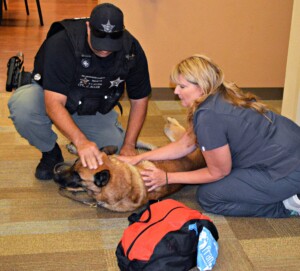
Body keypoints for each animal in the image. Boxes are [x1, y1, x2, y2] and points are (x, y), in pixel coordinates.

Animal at [52, 118, 205, 212]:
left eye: (77, 175)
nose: (55, 175)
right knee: (147, 145)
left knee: (178, 129)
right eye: (74, 164)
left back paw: (171, 122)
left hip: (182, 139)